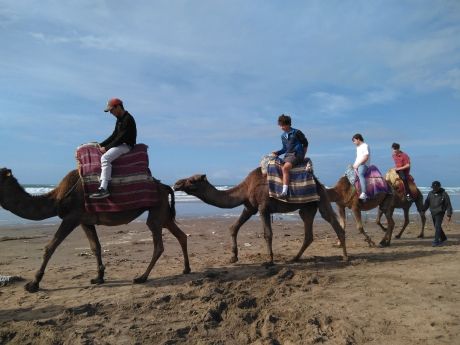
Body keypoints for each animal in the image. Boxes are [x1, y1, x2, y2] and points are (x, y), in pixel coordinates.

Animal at [0, 168, 190, 292]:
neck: (56, 199)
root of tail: (165, 186)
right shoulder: (85, 221)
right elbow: (95, 247)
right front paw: (99, 277)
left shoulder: (72, 217)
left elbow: (50, 247)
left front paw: (33, 284)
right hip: (164, 213)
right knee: (180, 235)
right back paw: (186, 269)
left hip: (156, 211)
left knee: (158, 244)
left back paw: (142, 277)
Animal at [174, 167, 346, 264]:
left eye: (192, 180)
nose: (176, 184)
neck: (246, 188)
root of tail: (319, 183)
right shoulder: (249, 208)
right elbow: (233, 227)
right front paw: (233, 257)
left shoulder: (264, 207)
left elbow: (267, 234)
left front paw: (269, 261)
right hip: (307, 208)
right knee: (308, 233)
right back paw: (295, 258)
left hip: (321, 199)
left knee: (333, 222)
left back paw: (345, 256)